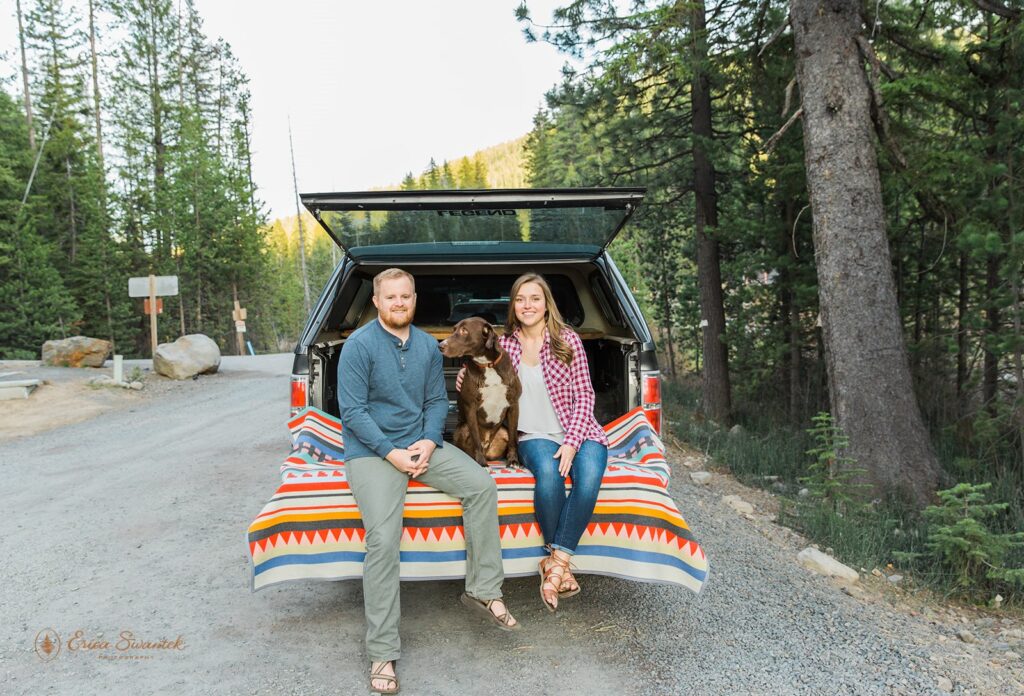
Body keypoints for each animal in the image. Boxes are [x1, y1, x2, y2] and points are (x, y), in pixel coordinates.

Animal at [438, 317, 520, 464]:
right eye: (454, 329)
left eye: (464, 330)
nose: (440, 345)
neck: (487, 364)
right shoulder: (470, 407)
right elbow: (476, 438)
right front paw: (481, 462)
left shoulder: (513, 405)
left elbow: (513, 437)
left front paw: (513, 460)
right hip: (462, 429)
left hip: (502, 432)